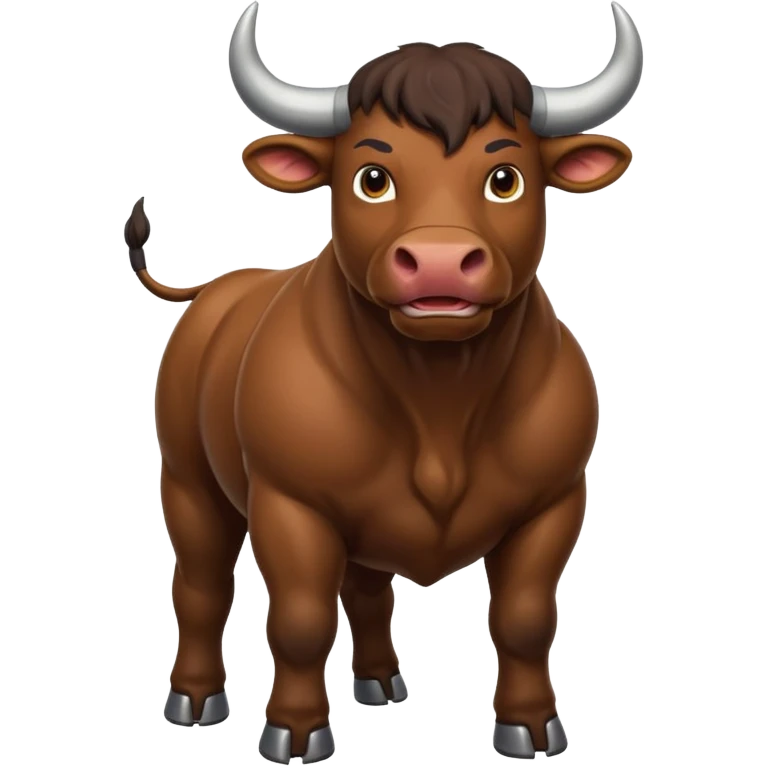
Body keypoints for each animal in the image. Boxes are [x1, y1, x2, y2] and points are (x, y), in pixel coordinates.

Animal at [127, 1, 643, 762]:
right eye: (372, 176)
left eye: (506, 178)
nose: (438, 261)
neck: (438, 399)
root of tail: (221, 286)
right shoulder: (291, 506)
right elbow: (301, 619)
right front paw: (295, 729)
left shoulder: (553, 503)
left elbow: (524, 617)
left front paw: (529, 724)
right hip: (190, 485)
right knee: (200, 587)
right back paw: (194, 697)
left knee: (367, 592)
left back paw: (379, 682)